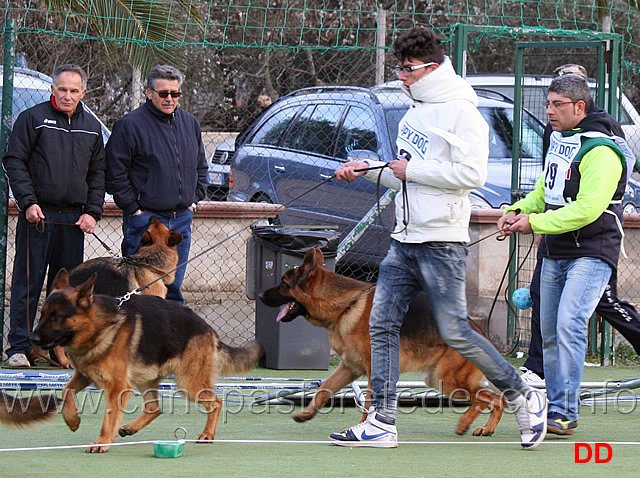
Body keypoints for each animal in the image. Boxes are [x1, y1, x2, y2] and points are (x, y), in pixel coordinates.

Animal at [29, 268, 264, 452]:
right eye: (43, 314)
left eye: (57, 317)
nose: (33, 339)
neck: (98, 327)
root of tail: (209, 329)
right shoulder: (84, 375)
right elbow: (66, 390)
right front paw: (73, 420)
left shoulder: (117, 387)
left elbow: (108, 416)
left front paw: (102, 441)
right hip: (146, 378)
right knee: (155, 408)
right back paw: (131, 427)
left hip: (188, 384)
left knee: (216, 402)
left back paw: (207, 434)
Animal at [258, 248, 504, 436]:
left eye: (283, 283)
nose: (259, 295)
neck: (345, 306)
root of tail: (479, 332)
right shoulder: (349, 367)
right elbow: (325, 387)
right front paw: (307, 413)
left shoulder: (371, 370)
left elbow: (368, 403)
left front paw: (361, 427)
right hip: (439, 379)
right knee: (498, 400)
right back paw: (487, 429)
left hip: (447, 379)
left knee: (486, 398)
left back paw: (465, 424)